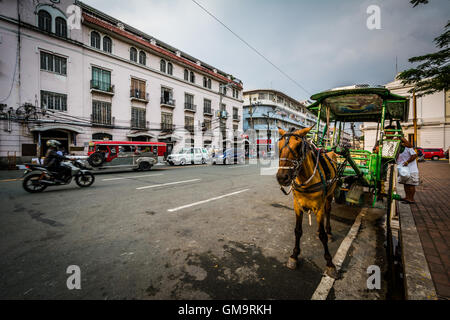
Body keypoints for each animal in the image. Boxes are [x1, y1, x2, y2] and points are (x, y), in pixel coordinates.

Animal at [276, 127, 340, 278]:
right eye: (278, 146)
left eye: (298, 146)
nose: (282, 177)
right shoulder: (297, 206)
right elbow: (298, 231)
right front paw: (294, 255)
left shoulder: (319, 207)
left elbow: (322, 235)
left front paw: (330, 263)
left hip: (330, 194)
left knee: (328, 211)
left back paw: (329, 232)